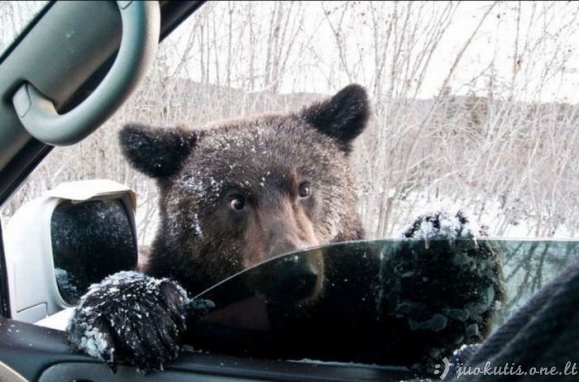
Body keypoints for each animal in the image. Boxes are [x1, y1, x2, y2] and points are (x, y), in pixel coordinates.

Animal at [65, 83, 506, 374]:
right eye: (236, 199)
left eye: (305, 187)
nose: (293, 273)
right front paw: (132, 313)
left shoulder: (352, 318)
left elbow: (419, 339)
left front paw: (445, 262)